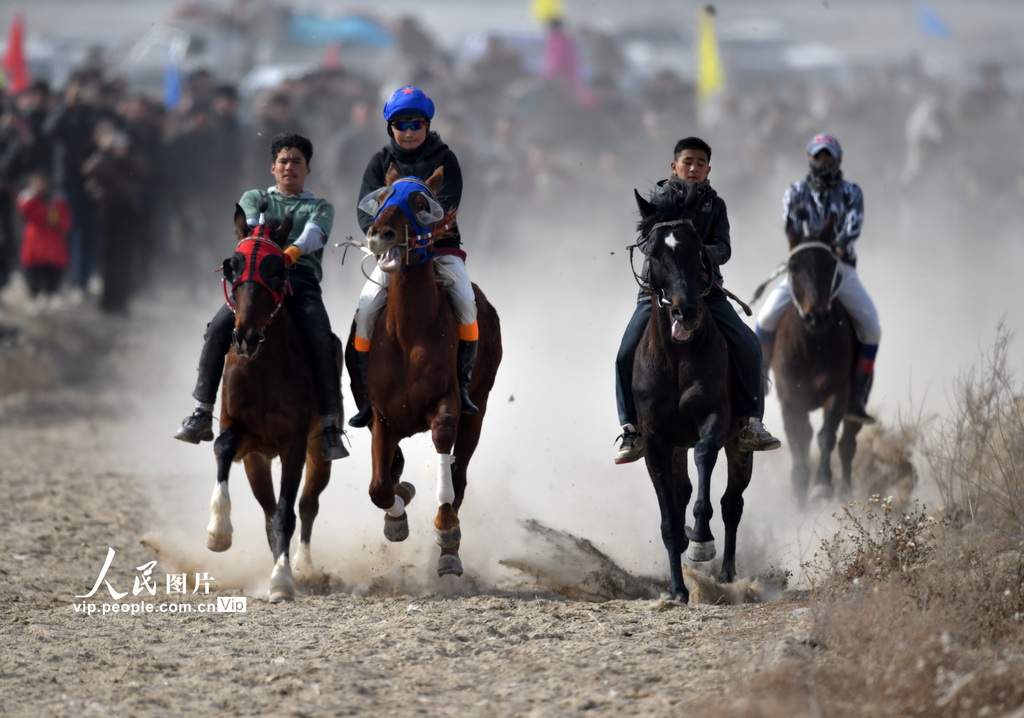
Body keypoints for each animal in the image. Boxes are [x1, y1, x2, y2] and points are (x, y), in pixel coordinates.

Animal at [204, 205, 341, 602]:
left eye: (278, 269)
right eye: (232, 265)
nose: (245, 336)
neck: (261, 366)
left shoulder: (293, 443)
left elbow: (287, 512)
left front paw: (282, 581)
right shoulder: (242, 436)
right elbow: (223, 446)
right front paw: (217, 533)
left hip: (318, 453)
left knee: (307, 505)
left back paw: (302, 568)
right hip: (257, 462)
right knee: (267, 511)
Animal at [345, 165, 502, 578]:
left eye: (420, 203)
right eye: (382, 198)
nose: (380, 233)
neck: (408, 332)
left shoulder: (446, 403)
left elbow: (445, 459)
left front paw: (446, 532)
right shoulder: (382, 416)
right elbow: (379, 486)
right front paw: (396, 517)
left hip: (478, 407)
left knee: (460, 475)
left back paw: (450, 549)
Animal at [632, 181, 754, 603]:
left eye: (695, 247)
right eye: (654, 252)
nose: (685, 312)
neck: (676, 358)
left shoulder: (713, 418)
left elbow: (705, 458)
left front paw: (701, 541)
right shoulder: (656, 440)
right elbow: (669, 518)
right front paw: (676, 590)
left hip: (740, 445)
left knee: (732, 503)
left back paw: (729, 573)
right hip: (674, 447)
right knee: (684, 492)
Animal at [772, 213, 864, 508]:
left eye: (830, 264)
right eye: (793, 267)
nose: (817, 316)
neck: (811, 345)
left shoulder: (837, 391)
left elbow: (827, 436)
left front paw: (822, 484)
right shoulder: (790, 399)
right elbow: (796, 441)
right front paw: (800, 488)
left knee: (847, 444)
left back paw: (845, 490)